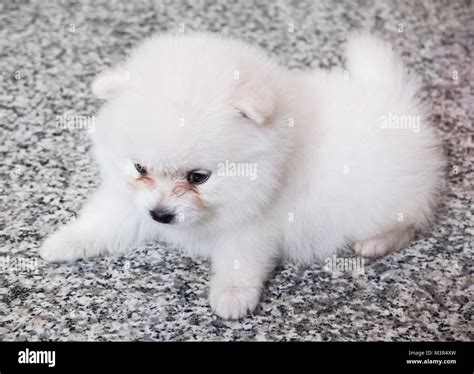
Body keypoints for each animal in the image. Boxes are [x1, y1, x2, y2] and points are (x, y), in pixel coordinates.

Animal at [39, 32, 444, 318]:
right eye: (140, 169)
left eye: (198, 177)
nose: (161, 215)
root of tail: (396, 103)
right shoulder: (132, 201)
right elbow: (103, 220)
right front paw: (64, 241)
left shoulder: (254, 224)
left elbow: (240, 259)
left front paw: (232, 296)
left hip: (384, 198)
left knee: (412, 219)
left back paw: (377, 242)